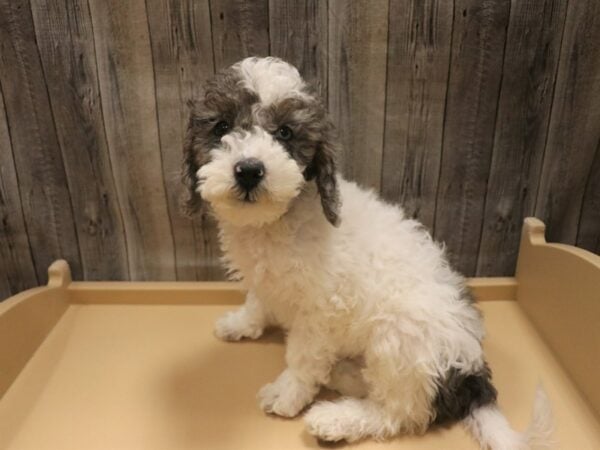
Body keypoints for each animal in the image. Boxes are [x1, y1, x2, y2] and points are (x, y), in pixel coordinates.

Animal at [183, 58, 552, 448]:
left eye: (285, 133)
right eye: (221, 126)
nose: (250, 170)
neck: (275, 223)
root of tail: (470, 373)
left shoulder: (320, 311)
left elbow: (303, 357)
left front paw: (287, 393)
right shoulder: (265, 280)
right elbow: (257, 301)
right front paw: (241, 323)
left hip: (398, 338)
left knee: (399, 413)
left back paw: (337, 418)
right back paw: (343, 374)